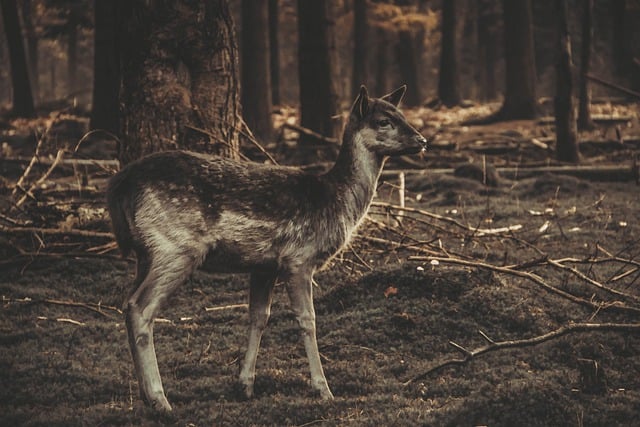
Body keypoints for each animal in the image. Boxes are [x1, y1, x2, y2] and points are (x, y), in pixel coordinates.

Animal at [107, 85, 427, 412]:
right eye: (383, 121)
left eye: (401, 113)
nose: (422, 140)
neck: (336, 202)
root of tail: (120, 185)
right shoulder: (299, 256)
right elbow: (307, 319)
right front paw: (323, 389)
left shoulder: (264, 265)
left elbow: (259, 316)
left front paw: (245, 385)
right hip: (176, 246)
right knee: (140, 307)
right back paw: (159, 398)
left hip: (147, 253)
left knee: (127, 304)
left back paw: (145, 394)